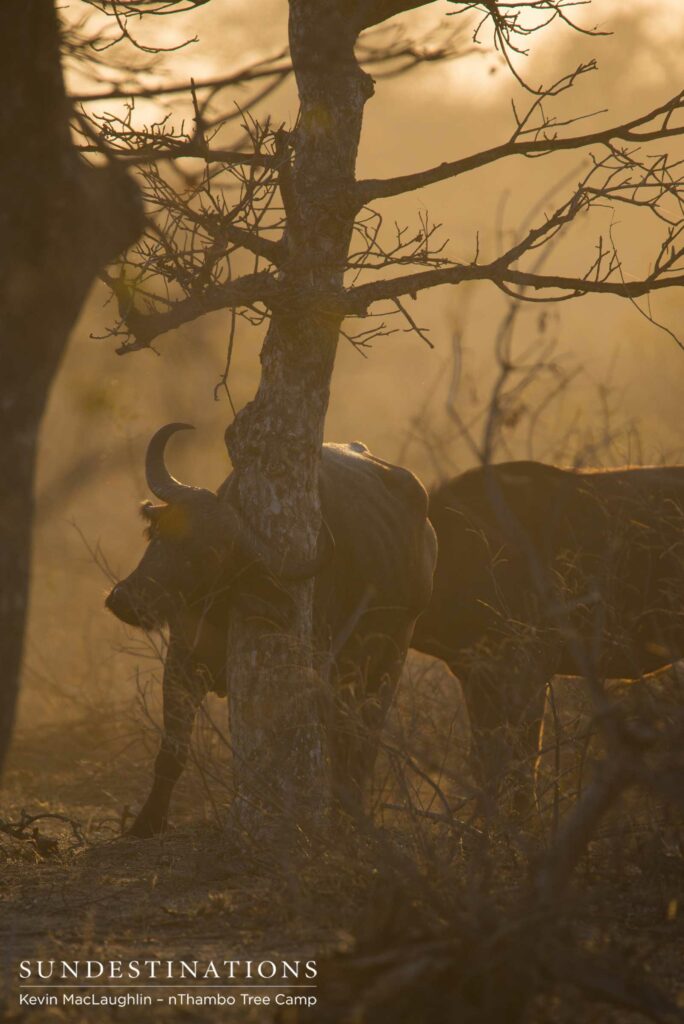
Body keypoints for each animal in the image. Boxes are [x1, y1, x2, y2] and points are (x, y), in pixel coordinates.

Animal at [106, 424, 437, 836]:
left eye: (209, 555)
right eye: (160, 534)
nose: (127, 599)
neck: (223, 608)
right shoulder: (181, 663)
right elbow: (172, 751)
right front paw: (147, 822)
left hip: (389, 658)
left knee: (362, 742)